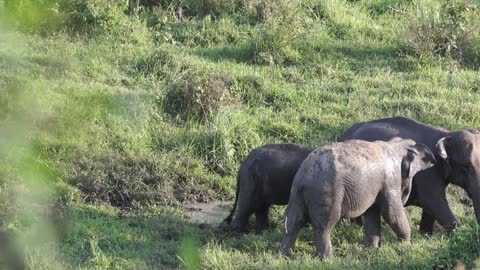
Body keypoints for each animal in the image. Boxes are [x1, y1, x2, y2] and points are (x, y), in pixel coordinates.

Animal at [280, 138, 436, 258]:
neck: (395, 144)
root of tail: (304, 175)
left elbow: (372, 213)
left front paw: (372, 249)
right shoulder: (389, 180)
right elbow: (390, 213)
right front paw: (407, 244)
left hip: (297, 193)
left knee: (293, 221)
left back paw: (286, 255)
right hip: (326, 192)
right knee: (324, 225)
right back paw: (327, 259)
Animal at [342, 116, 480, 232]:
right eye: (465, 168)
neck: (446, 134)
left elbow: (431, 208)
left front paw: (425, 235)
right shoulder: (427, 172)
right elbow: (434, 202)